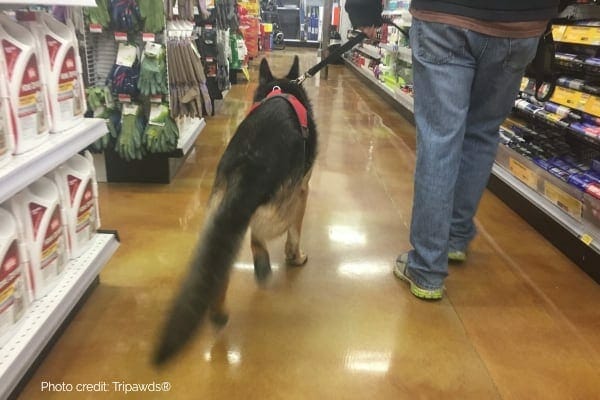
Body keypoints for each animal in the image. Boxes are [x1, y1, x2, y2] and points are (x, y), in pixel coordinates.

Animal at [152, 56, 316, 366]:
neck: (279, 90)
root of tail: (252, 161)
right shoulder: (303, 190)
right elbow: (295, 233)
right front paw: (296, 256)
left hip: (218, 210)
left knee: (221, 259)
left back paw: (218, 311)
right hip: (279, 207)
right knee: (258, 235)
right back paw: (264, 266)